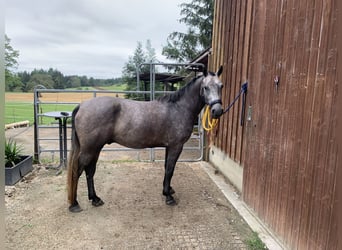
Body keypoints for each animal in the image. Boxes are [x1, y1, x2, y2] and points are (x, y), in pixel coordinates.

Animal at [68, 65, 224, 212]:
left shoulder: (169, 146)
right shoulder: (176, 146)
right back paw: (74, 204)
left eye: (221, 86)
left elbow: (167, 167)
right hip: (90, 149)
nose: (217, 111)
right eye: (205, 87)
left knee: (90, 171)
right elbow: (170, 169)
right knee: (78, 171)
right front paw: (168, 196)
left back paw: (95, 199)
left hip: (95, 149)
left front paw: (168, 189)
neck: (179, 108)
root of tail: (82, 106)